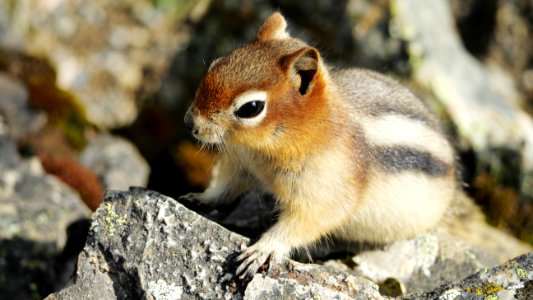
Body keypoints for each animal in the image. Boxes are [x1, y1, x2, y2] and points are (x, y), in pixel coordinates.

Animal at [181, 12, 456, 278]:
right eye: (217, 63)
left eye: (251, 108)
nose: (190, 123)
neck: (265, 150)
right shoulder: (243, 164)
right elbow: (226, 186)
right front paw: (201, 198)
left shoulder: (324, 187)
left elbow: (307, 221)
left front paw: (264, 249)